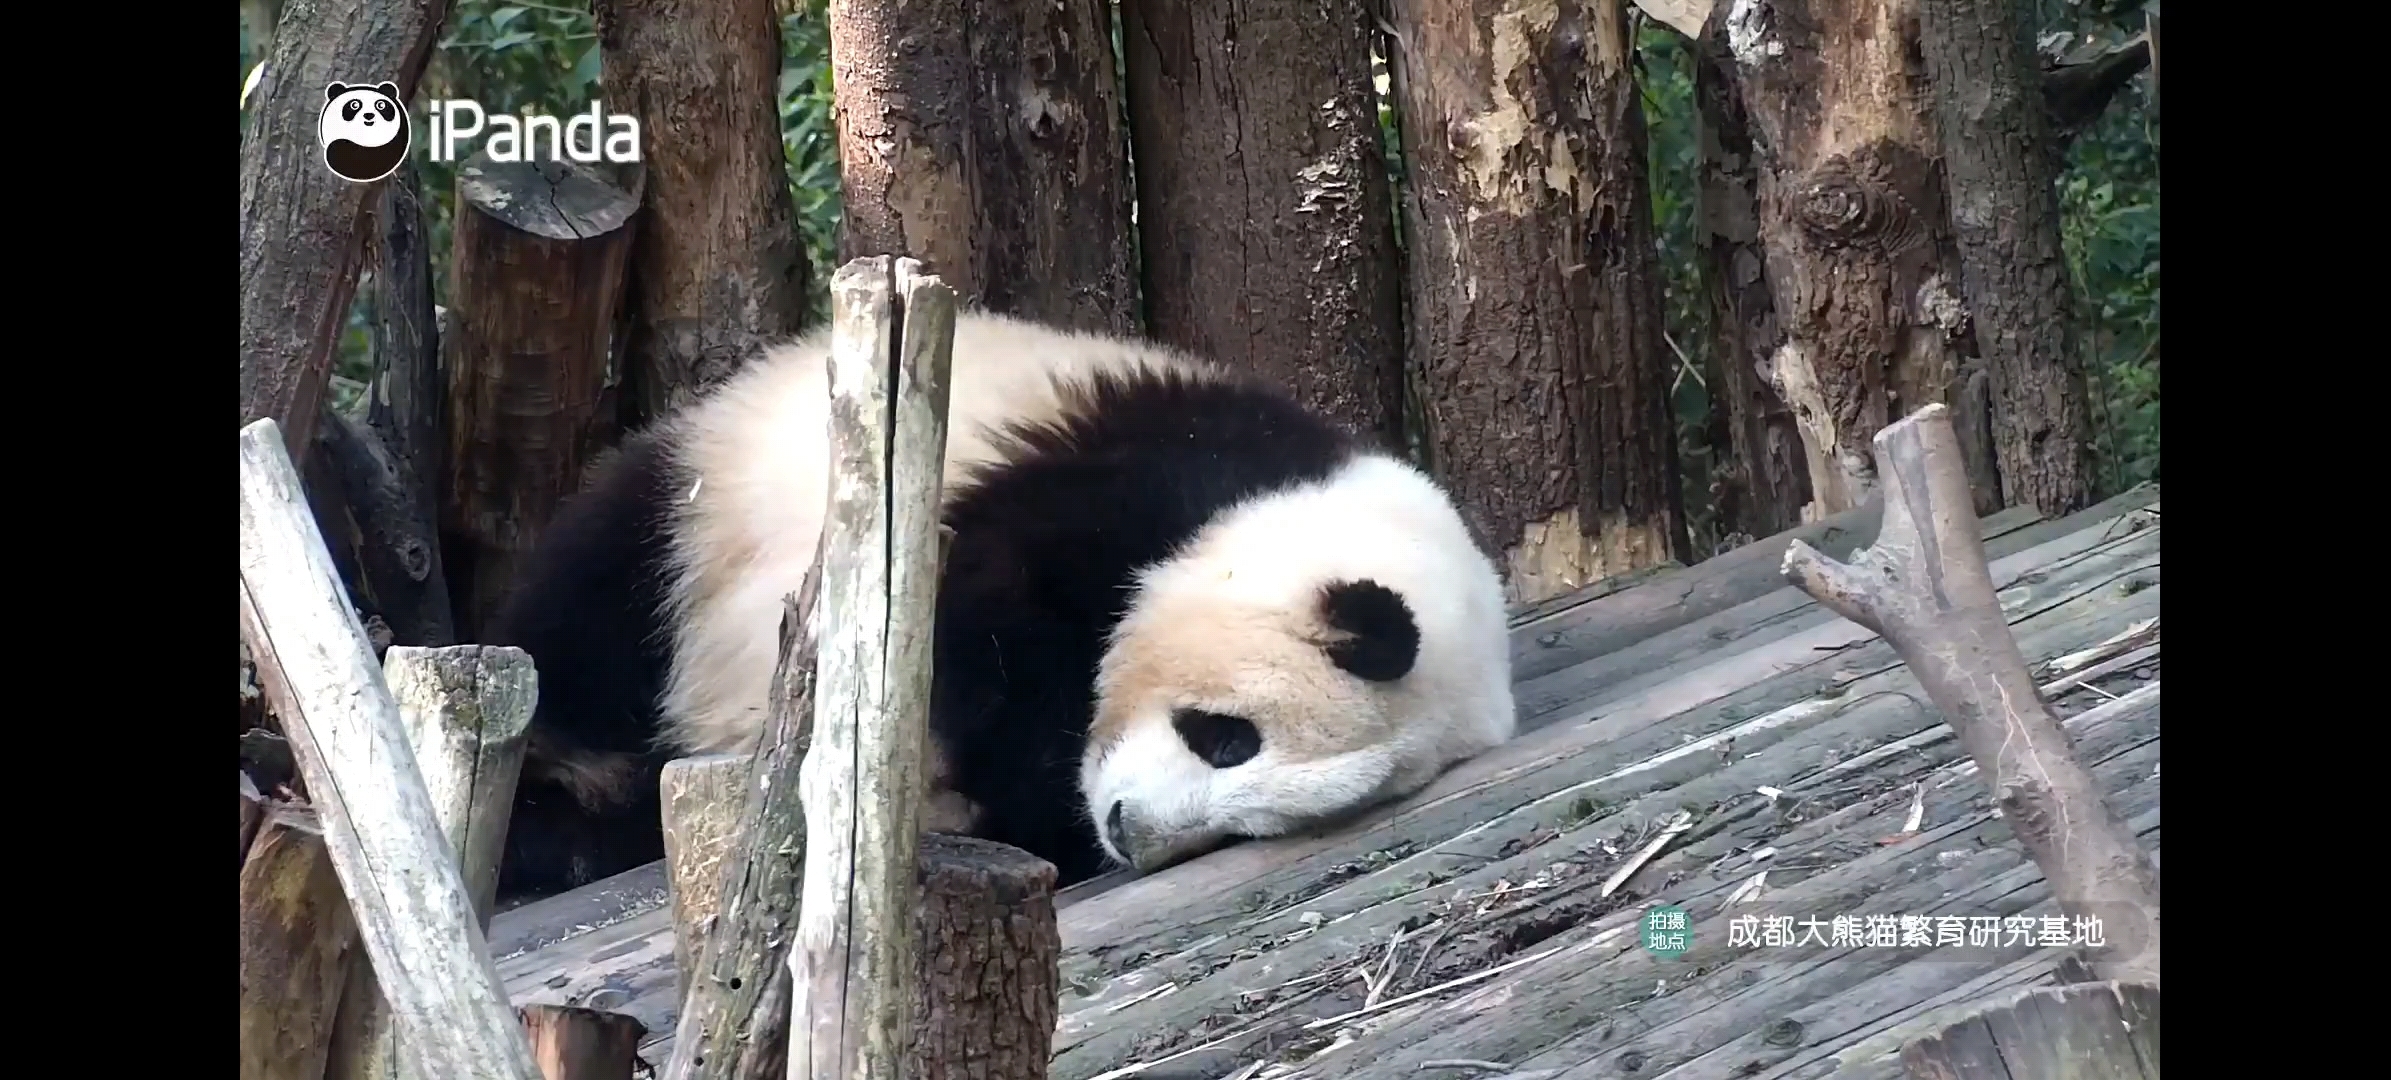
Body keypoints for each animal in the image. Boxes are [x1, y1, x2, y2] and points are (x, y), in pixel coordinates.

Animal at [490, 310, 1511, 903]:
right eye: (1228, 738)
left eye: (1253, 822)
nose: (1129, 830)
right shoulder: (1103, 480)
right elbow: (973, 626)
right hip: (704, 511)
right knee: (592, 619)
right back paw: (555, 814)